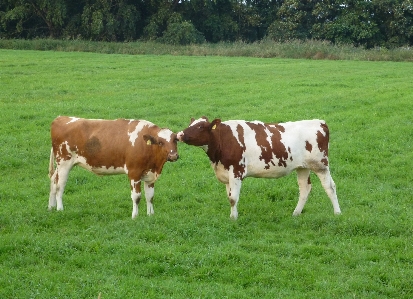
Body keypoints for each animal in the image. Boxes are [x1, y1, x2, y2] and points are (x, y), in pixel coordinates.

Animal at [48, 116, 177, 219]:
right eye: (160, 142)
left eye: (175, 140)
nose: (173, 155)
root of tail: (61, 118)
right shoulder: (134, 173)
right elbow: (136, 197)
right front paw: (134, 216)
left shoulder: (150, 174)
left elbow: (150, 196)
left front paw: (151, 215)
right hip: (64, 163)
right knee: (59, 186)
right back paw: (60, 209)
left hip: (60, 165)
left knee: (53, 181)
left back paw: (51, 207)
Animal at [177, 117, 342, 220]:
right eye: (191, 124)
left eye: (200, 126)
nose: (179, 134)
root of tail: (319, 122)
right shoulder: (226, 175)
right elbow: (229, 197)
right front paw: (232, 216)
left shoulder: (236, 171)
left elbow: (233, 198)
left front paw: (233, 218)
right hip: (302, 167)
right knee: (305, 189)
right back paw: (296, 213)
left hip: (320, 165)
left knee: (330, 187)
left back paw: (337, 212)